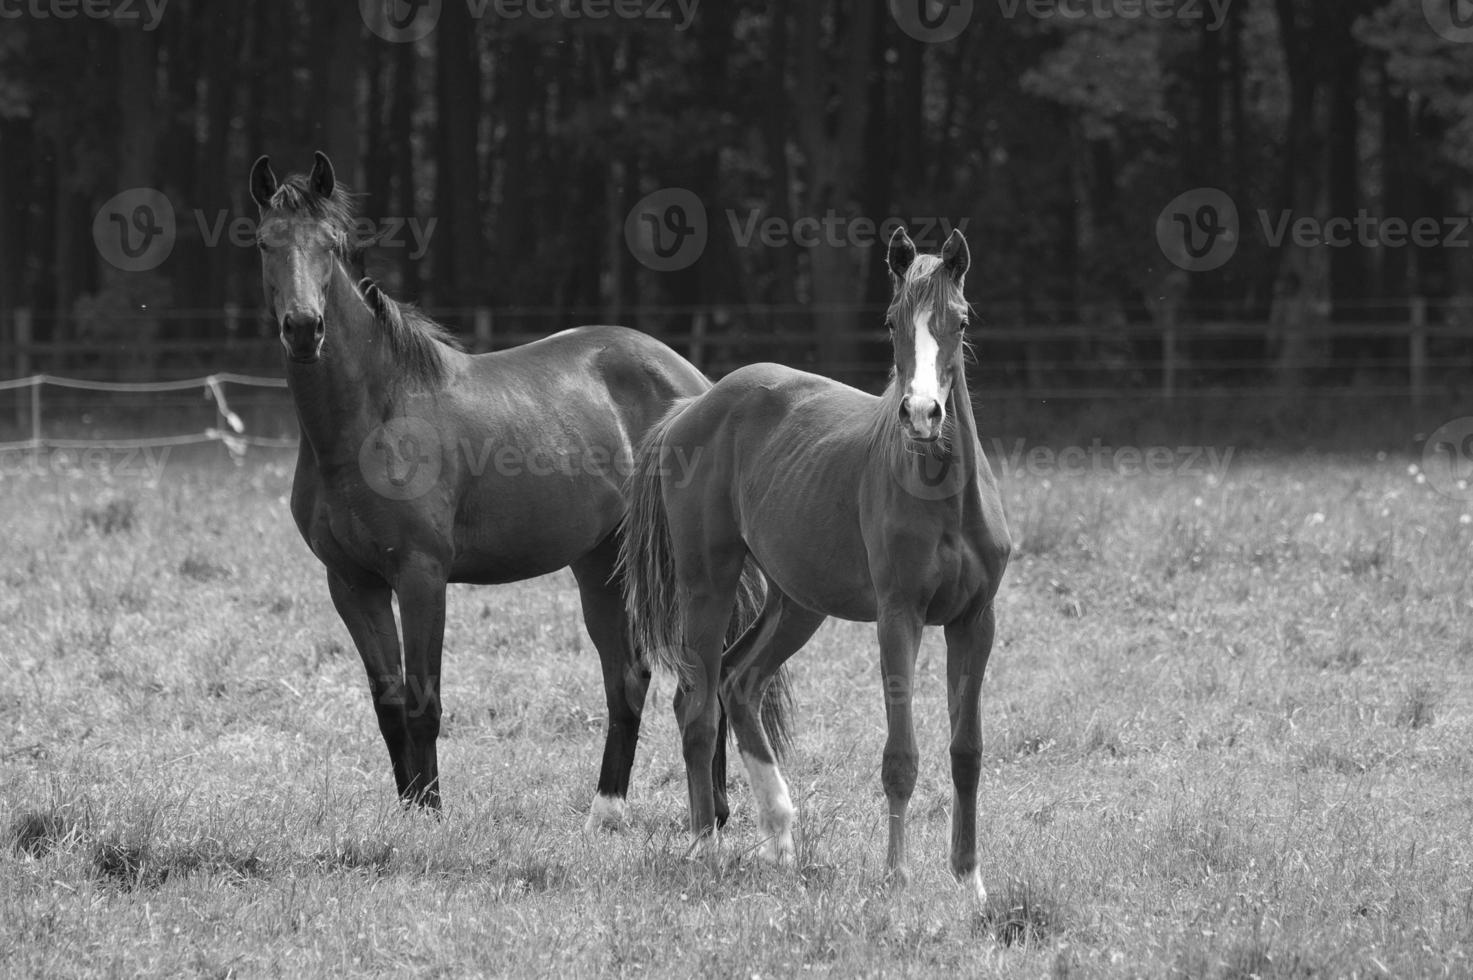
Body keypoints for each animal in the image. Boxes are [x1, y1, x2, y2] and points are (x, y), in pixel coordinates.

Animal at [247, 153, 777, 819]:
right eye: (266, 243)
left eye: (331, 243)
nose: (303, 328)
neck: (370, 420)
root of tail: (697, 382)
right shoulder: (351, 583)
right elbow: (389, 704)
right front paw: (406, 811)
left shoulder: (421, 575)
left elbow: (424, 702)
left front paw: (429, 816)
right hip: (601, 565)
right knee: (629, 678)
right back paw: (607, 811)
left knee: (702, 672)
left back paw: (716, 810)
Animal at [615, 226, 1007, 896]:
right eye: (892, 320)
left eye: (959, 320)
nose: (922, 414)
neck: (944, 498)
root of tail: (691, 410)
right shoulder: (898, 617)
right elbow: (901, 756)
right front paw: (898, 877)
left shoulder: (974, 622)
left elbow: (967, 752)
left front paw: (970, 882)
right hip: (708, 584)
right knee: (697, 707)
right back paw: (705, 846)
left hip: (796, 602)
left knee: (739, 682)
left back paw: (781, 840)